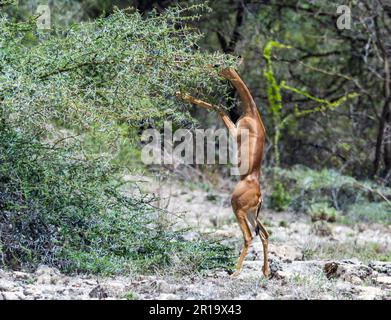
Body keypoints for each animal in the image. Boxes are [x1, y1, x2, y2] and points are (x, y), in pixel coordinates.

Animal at [178, 67, 270, 278]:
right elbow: (218, 106)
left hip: (239, 209)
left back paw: (235, 273)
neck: (251, 112)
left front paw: (182, 94)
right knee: (265, 235)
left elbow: (218, 108)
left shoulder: (235, 131)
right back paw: (265, 272)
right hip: (252, 214)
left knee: (248, 236)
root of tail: (259, 194)